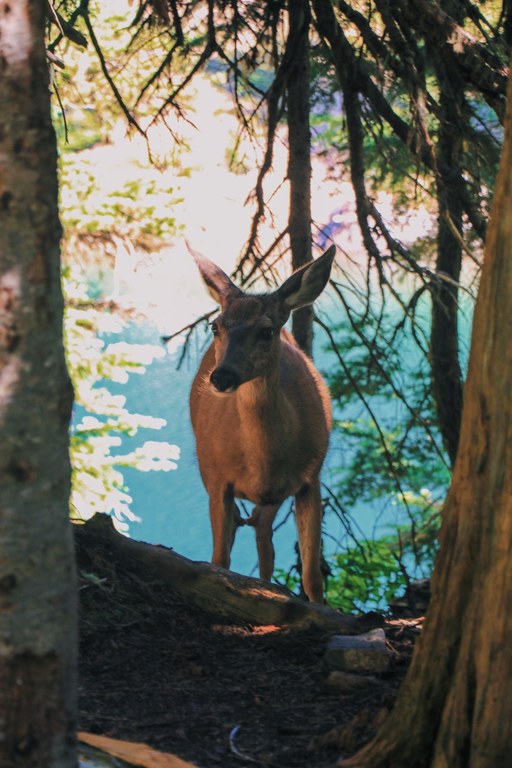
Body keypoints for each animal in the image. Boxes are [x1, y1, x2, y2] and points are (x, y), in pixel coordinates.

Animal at [190, 245, 336, 603]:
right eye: (215, 327)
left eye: (266, 331)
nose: (221, 377)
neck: (261, 462)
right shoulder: (217, 480)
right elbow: (219, 559)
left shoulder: (311, 478)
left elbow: (312, 577)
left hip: (274, 498)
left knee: (264, 541)